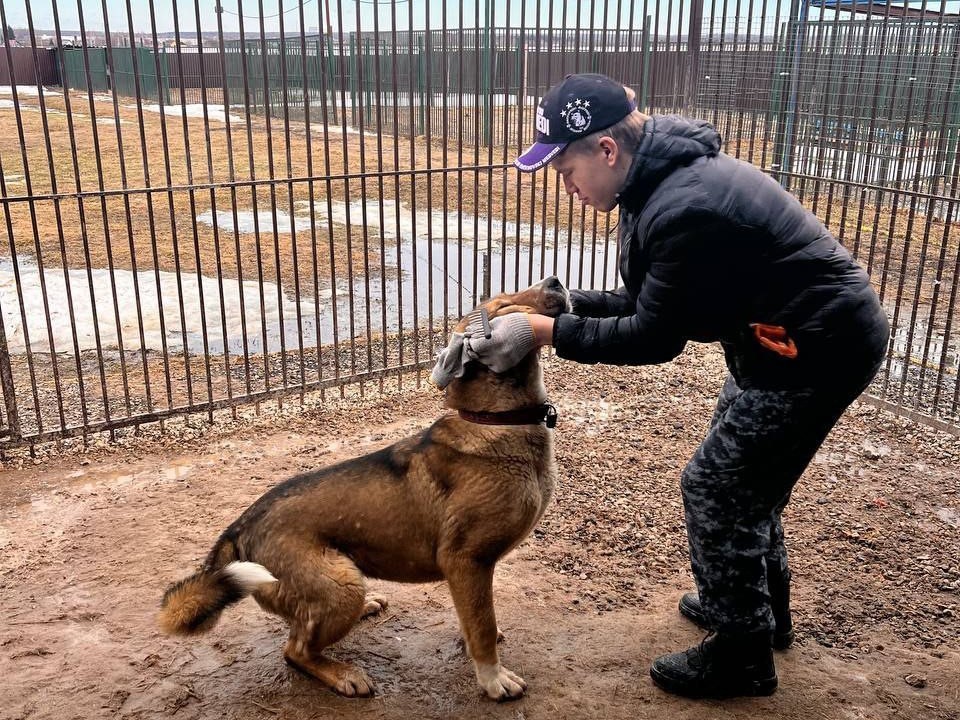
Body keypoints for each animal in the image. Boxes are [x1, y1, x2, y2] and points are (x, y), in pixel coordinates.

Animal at [158, 276, 568, 696]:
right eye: (503, 307)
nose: (555, 281)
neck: (493, 420)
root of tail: (239, 527)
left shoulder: (471, 574)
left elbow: (477, 619)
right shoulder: (466, 561)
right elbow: (482, 626)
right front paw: (493, 678)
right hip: (342, 587)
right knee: (295, 651)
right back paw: (343, 674)